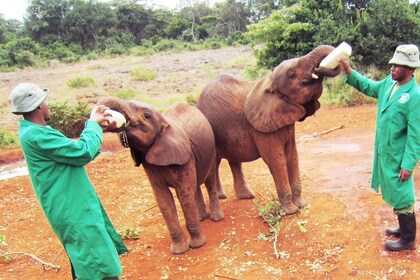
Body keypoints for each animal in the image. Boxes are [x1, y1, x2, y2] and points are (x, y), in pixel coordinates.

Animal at [98, 97, 225, 255]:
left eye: (146, 115)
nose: (104, 113)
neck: (166, 124)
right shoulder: (149, 163)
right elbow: (163, 198)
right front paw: (178, 251)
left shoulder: (185, 156)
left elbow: (184, 194)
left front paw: (197, 245)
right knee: (195, 186)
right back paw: (201, 218)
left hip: (210, 148)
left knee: (209, 180)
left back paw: (216, 218)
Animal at [197, 45, 342, 214]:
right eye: (292, 74)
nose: (321, 67)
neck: (269, 82)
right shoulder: (261, 129)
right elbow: (276, 159)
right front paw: (290, 211)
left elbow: (292, 155)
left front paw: (301, 205)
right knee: (215, 162)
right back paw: (222, 197)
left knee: (233, 161)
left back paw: (245, 196)